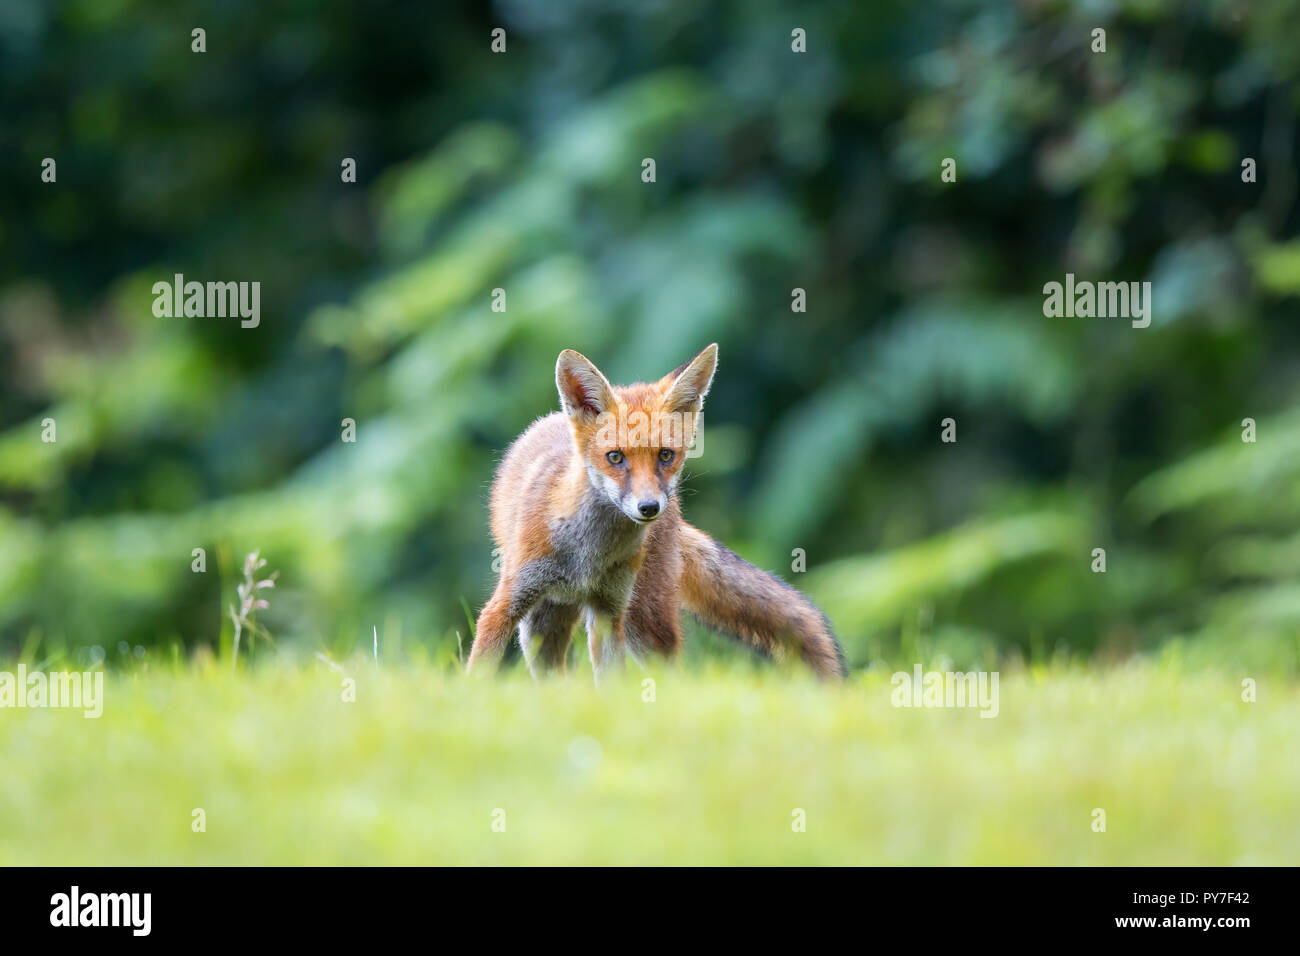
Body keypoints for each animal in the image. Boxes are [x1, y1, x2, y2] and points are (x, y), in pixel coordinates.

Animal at [465, 343, 846, 683]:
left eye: (665, 455)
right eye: (615, 457)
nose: (649, 507)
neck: (587, 554)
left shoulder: (609, 611)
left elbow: (612, 686)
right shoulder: (505, 604)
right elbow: (478, 673)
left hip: (642, 622)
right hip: (539, 626)